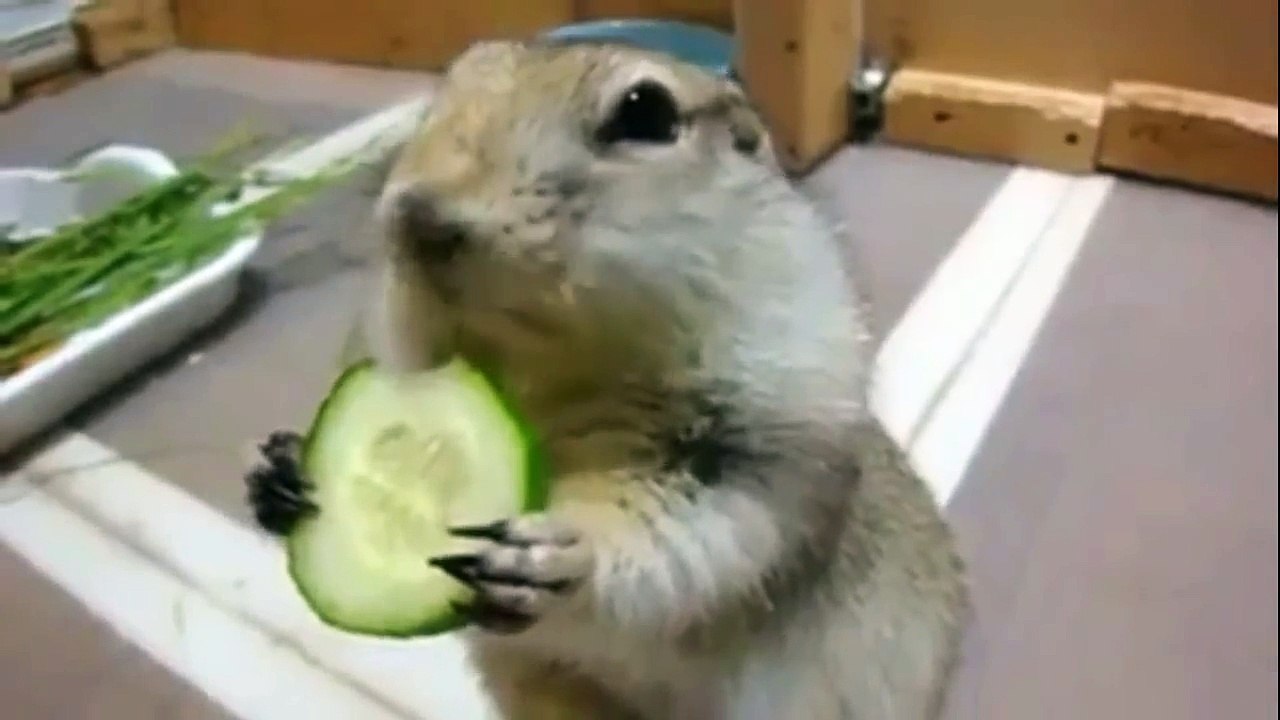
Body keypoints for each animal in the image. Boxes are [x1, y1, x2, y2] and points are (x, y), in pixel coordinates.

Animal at [245, 39, 970, 720]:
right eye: (450, 81)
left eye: (646, 110)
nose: (413, 215)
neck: (546, 372)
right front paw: (283, 472)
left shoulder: (767, 431)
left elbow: (689, 528)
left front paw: (550, 550)